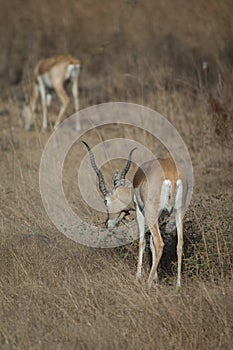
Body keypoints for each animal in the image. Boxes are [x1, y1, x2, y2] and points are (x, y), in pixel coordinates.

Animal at [83, 141, 188, 288]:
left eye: (105, 200)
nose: (107, 224)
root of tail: (171, 174)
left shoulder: (140, 211)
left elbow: (142, 242)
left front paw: (139, 277)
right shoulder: (160, 216)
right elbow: (151, 243)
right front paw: (155, 277)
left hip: (151, 213)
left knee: (160, 243)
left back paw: (147, 284)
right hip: (179, 211)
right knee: (179, 243)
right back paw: (178, 285)